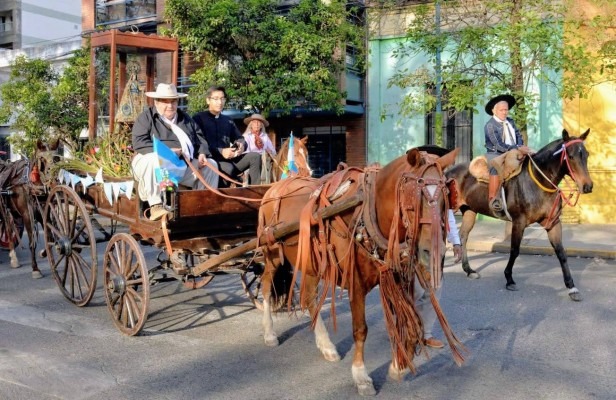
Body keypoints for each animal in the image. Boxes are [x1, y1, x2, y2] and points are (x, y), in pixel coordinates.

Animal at [258, 146, 464, 394]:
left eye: (446, 198)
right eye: (413, 198)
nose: (433, 253)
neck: (368, 212)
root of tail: (275, 187)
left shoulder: (396, 276)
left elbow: (410, 322)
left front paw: (398, 366)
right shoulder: (355, 282)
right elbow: (360, 329)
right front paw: (361, 376)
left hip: (310, 263)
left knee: (309, 298)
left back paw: (326, 345)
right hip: (271, 253)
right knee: (266, 286)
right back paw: (270, 333)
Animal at [446, 130, 596, 302]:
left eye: (586, 154)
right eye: (570, 156)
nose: (587, 186)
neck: (538, 180)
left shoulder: (553, 223)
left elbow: (561, 253)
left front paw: (572, 287)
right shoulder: (519, 222)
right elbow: (515, 250)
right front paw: (509, 279)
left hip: (469, 211)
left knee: (463, 236)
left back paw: (469, 270)